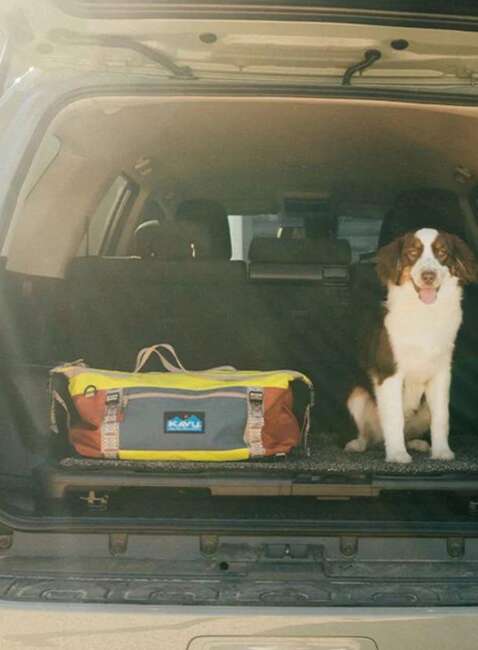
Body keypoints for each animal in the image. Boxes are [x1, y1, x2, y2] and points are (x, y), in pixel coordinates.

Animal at [346, 227, 476, 460]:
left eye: (442, 252)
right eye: (412, 253)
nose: (428, 276)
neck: (424, 313)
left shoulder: (442, 373)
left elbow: (441, 417)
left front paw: (442, 452)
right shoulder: (390, 372)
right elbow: (394, 418)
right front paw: (397, 455)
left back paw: (418, 443)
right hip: (357, 395)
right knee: (368, 434)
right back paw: (358, 444)